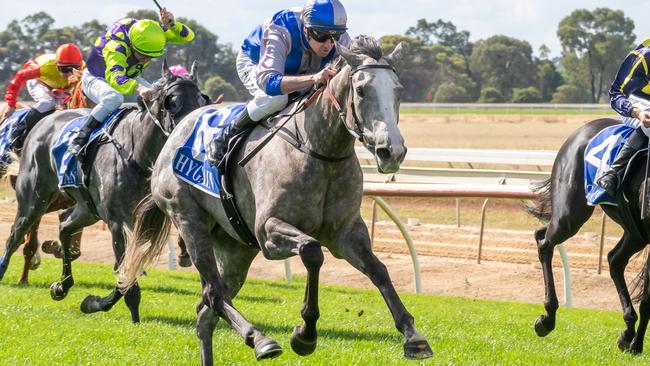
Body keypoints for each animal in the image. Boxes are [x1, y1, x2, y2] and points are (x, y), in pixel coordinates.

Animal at [0, 62, 206, 324]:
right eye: (173, 102)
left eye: (201, 101)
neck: (137, 152)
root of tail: (43, 122)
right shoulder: (118, 222)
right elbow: (123, 270)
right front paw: (120, 309)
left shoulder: (144, 221)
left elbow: (127, 270)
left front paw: (96, 303)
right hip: (34, 200)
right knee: (15, 235)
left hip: (88, 209)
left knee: (64, 225)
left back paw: (62, 286)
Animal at [109, 35, 432, 364]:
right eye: (362, 90)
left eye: (398, 90)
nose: (391, 151)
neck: (320, 150)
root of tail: (176, 133)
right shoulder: (268, 232)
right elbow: (312, 251)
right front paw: (305, 335)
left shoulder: (345, 233)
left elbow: (379, 270)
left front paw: (413, 336)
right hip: (188, 218)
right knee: (214, 294)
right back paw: (261, 340)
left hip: (236, 247)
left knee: (206, 312)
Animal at [528, 117, 648, 352]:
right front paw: (636, 345)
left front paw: (635, 345)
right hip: (570, 215)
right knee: (544, 241)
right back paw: (547, 317)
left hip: (635, 233)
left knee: (614, 259)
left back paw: (628, 330)